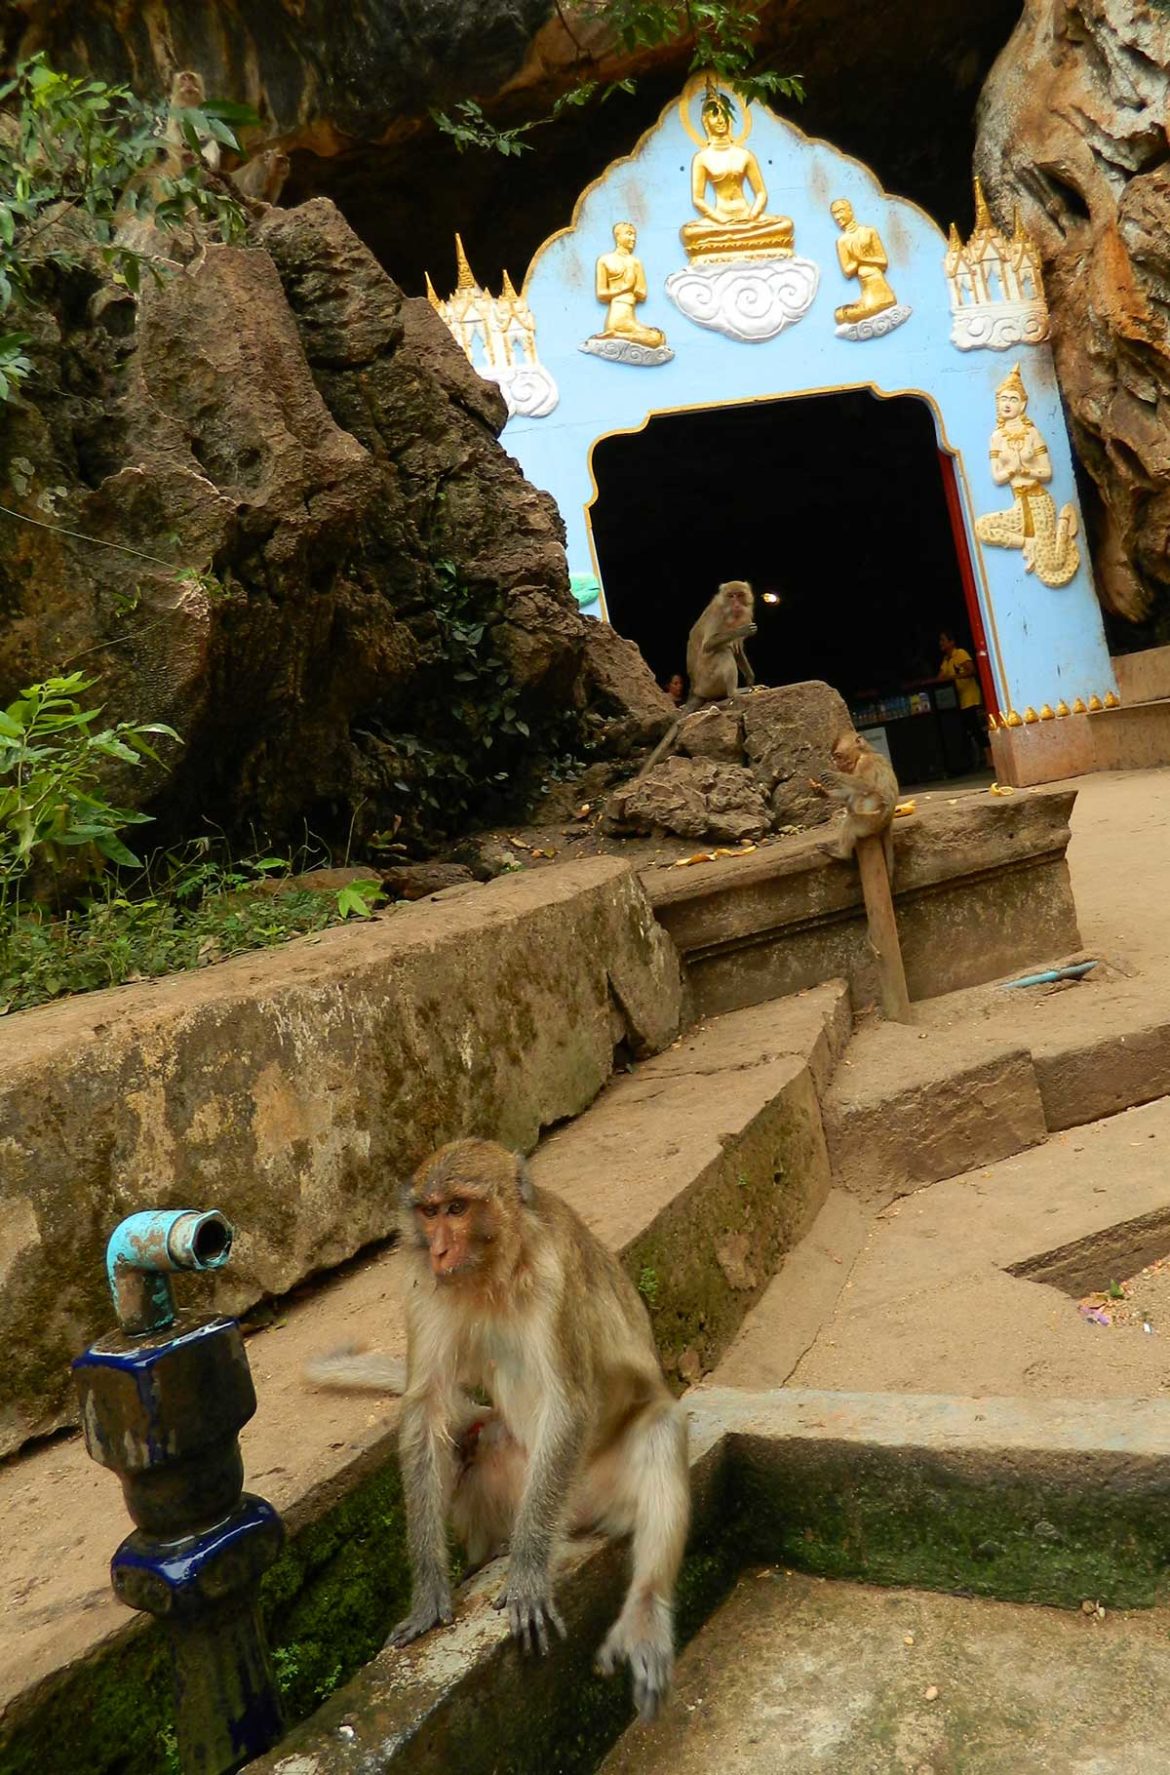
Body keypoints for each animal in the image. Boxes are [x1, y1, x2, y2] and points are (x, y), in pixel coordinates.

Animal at [307, 1136, 692, 1718]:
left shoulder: (556, 1278)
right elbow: (428, 1410)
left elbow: (568, 1404)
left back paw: (642, 1613)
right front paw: (429, 1587)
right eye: (430, 1212)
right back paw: (488, 1554)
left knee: (661, 1428)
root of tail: (578, 1516)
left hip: (597, 1484)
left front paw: (529, 1571)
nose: (439, 1251)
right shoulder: (424, 1289)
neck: (491, 1272)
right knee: (477, 1436)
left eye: (458, 1209)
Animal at [813, 727, 898, 880]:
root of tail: (888, 821)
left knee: (853, 819)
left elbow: (867, 785)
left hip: (871, 823)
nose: (836, 764)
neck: (864, 753)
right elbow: (849, 793)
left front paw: (836, 776)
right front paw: (822, 792)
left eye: (838, 756)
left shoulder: (865, 764)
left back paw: (841, 854)